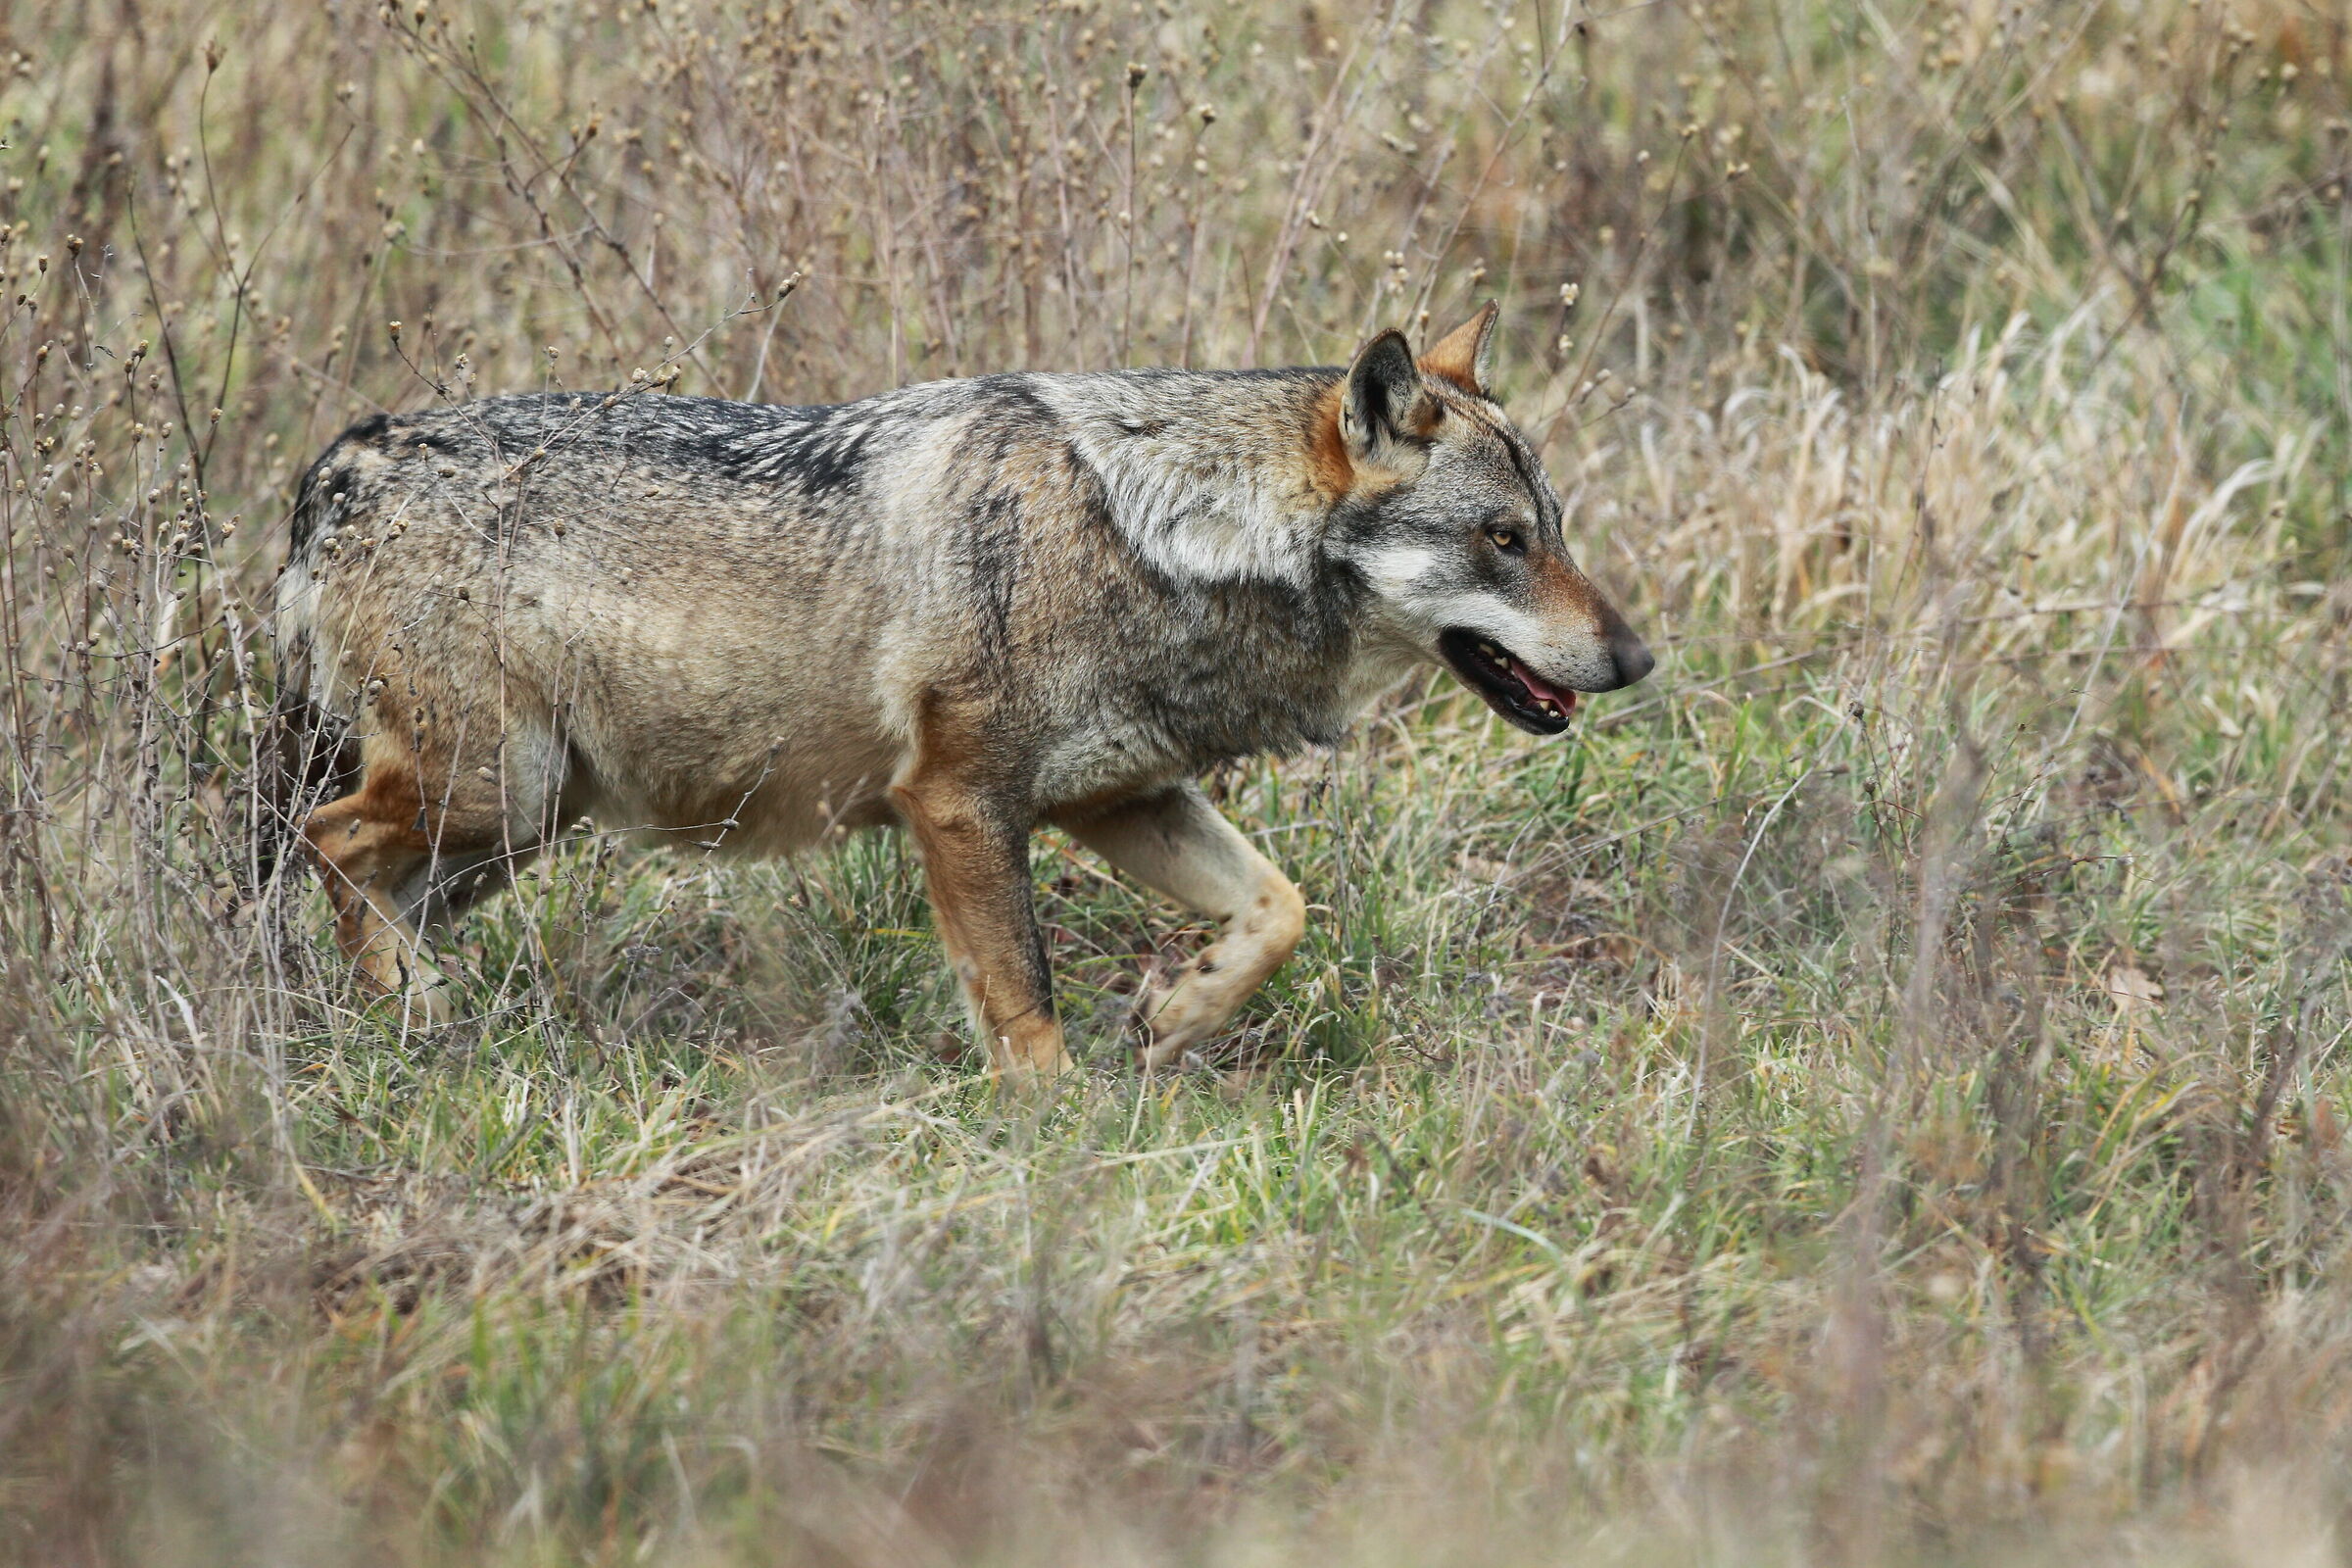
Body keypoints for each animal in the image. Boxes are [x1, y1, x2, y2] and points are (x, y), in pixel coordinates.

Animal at [267, 304, 1651, 1078]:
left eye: (1553, 531)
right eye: (1503, 541)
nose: (1638, 660)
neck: (1159, 536)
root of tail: (341, 462)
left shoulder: (1118, 799)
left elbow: (1281, 910)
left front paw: (1179, 1017)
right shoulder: (960, 802)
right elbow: (1024, 999)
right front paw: (1062, 1134)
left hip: (519, 825)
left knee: (362, 881)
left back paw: (414, 1015)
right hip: (495, 794)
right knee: (320, 840)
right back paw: (411, 1013)